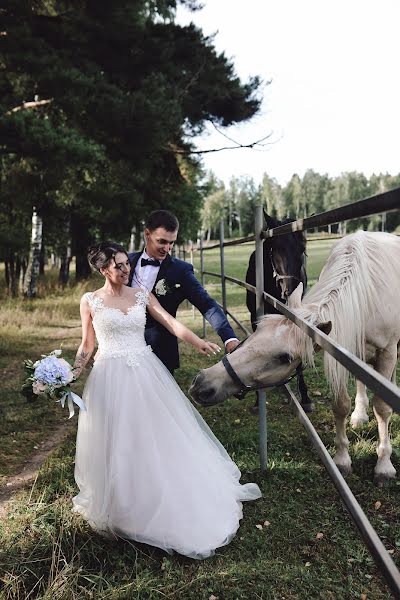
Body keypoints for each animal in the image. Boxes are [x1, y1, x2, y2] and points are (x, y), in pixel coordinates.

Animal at [191, 232, 400, 486]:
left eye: (284, 357)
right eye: (256, 332)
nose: (202, 384)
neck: (363, 296)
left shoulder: (387, 351)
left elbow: (382, 408)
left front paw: (384, 466)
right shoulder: (341, 350)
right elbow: (340, 405)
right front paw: (342, 459)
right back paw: (359, 416)